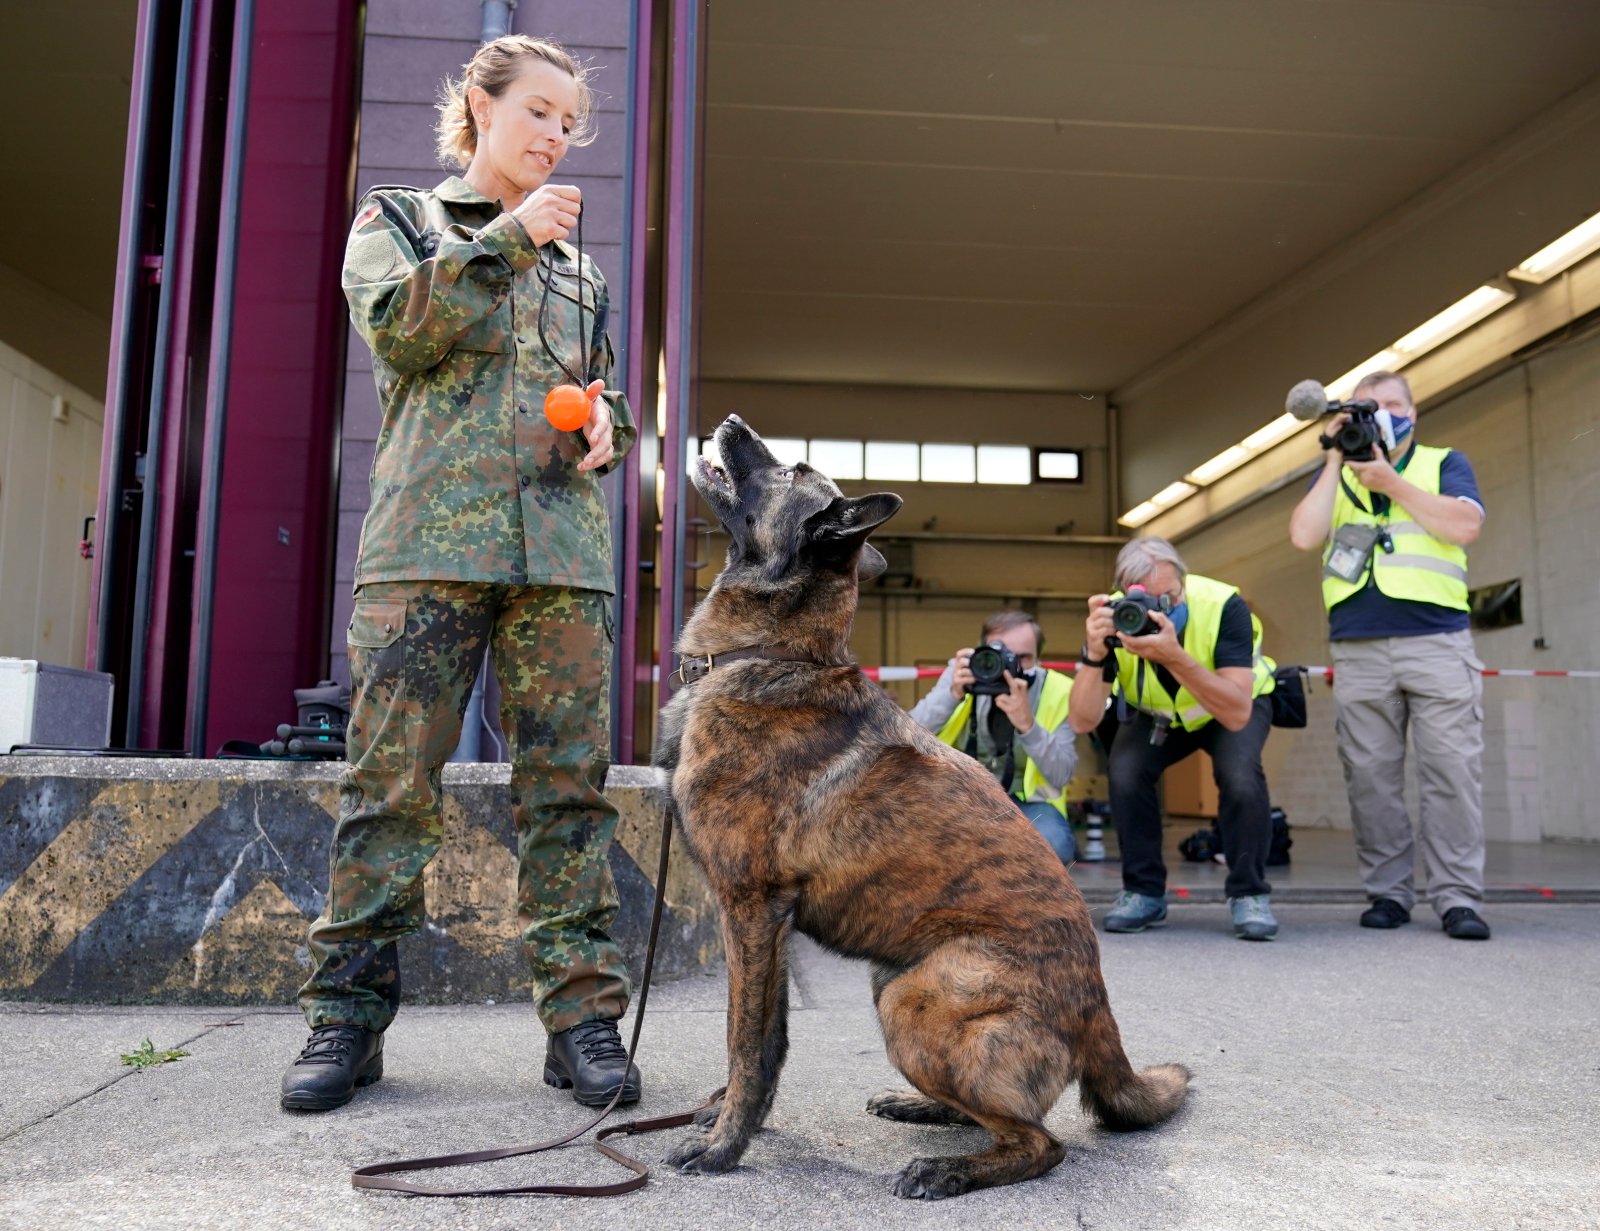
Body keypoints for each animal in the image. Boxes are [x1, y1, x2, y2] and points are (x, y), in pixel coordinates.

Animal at [649, 416, 1190, 1197]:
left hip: (913, 995)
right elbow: (765, 1037)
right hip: (891, 976)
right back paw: (924, 1109)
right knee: (998, 1116)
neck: (769, 653)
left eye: (793, 468)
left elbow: (746, 1040)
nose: (731, 424)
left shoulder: (750, 909)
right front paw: (728, 1116)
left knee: (1040, 1142)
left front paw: (726, 1145)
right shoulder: (764, 926)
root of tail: (1098, 1013)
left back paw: (947, 1167)